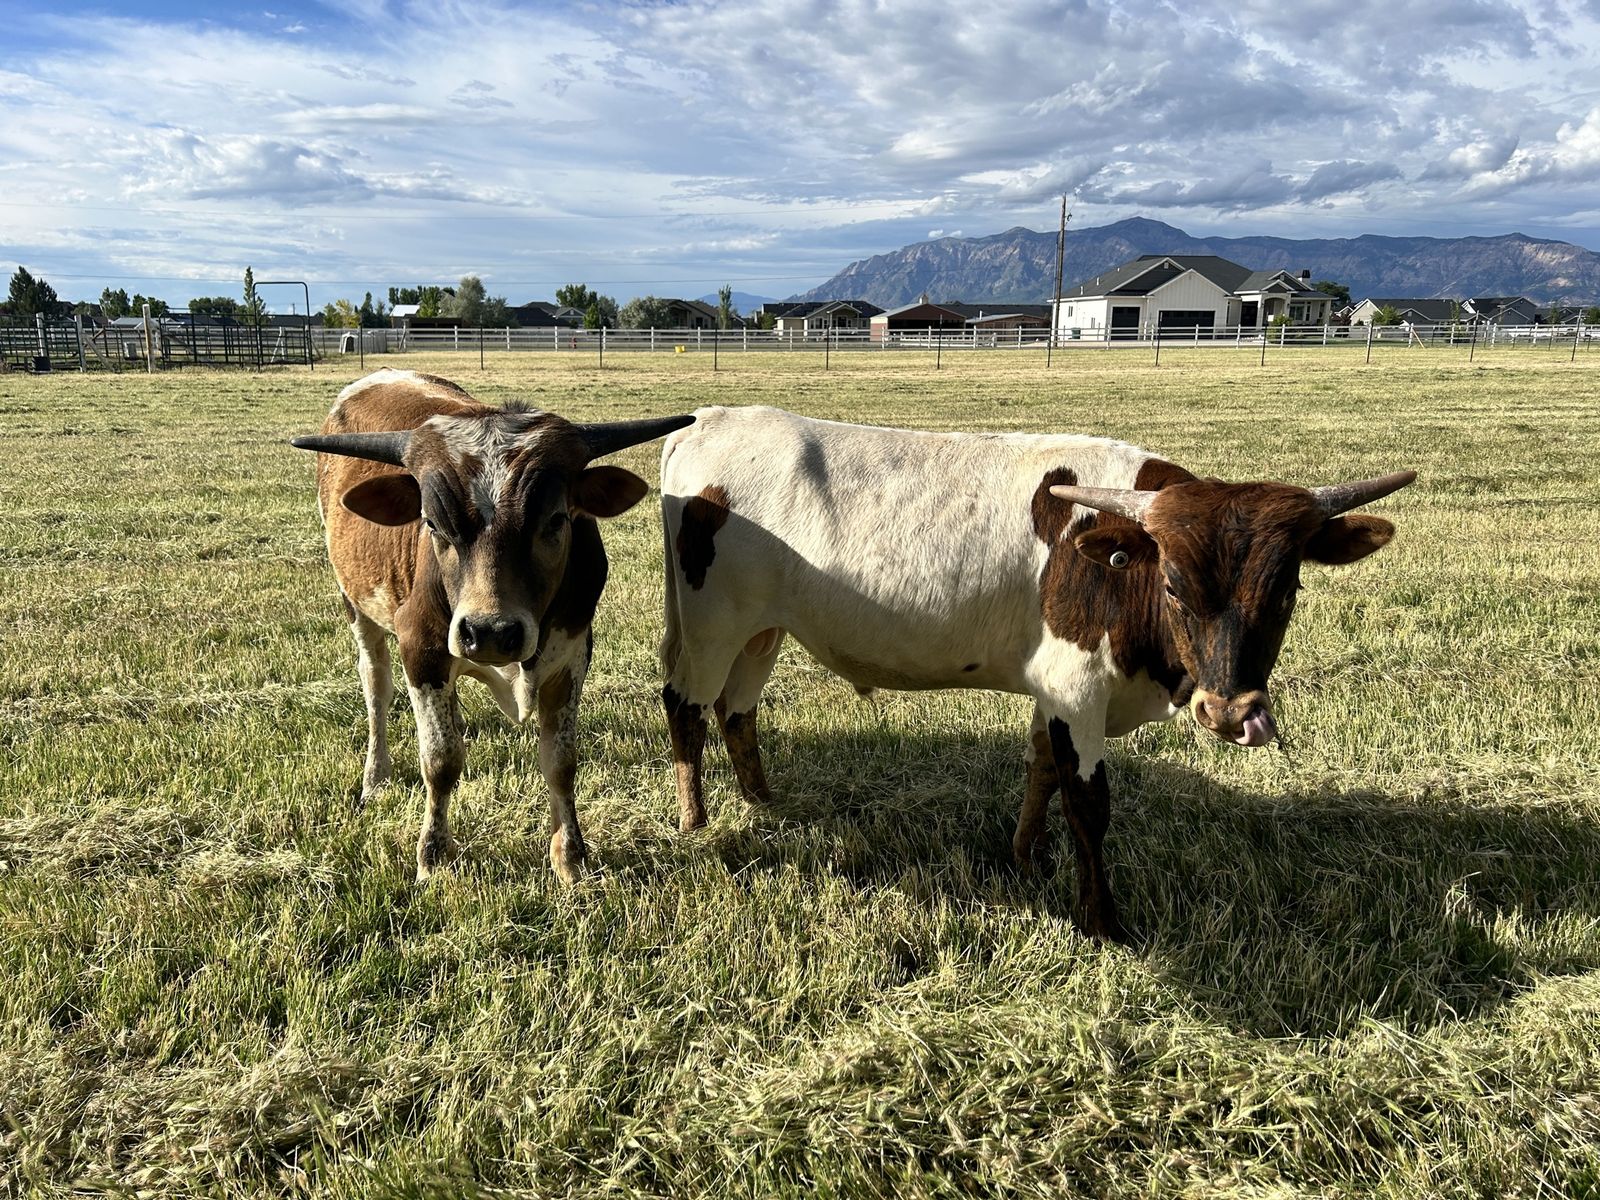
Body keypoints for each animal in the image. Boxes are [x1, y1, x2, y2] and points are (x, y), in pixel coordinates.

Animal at [292, 368, 692, 884]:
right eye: (432, 523)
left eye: (555, 520)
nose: (490, 633)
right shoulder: (421, 648)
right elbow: (441, 760)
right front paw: (432, 857)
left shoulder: (572, 655)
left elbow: (560, 761)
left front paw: (570, 858)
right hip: (357, 606)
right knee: (376, 685)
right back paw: (375, 777)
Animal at [658, 406, 1414, 941]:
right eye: (1172, 584)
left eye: (1288, 589)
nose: (1230, 712)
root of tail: (712, 418)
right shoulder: (1075, 685)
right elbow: (1087, 802)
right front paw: (1102, 920)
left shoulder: (1052, 691)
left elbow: (1041, 769)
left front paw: (1026, 854)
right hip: (712, 625)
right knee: (685, 704)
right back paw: (696, 822)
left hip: (763, 632)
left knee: (736, 710)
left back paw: (764, 802)